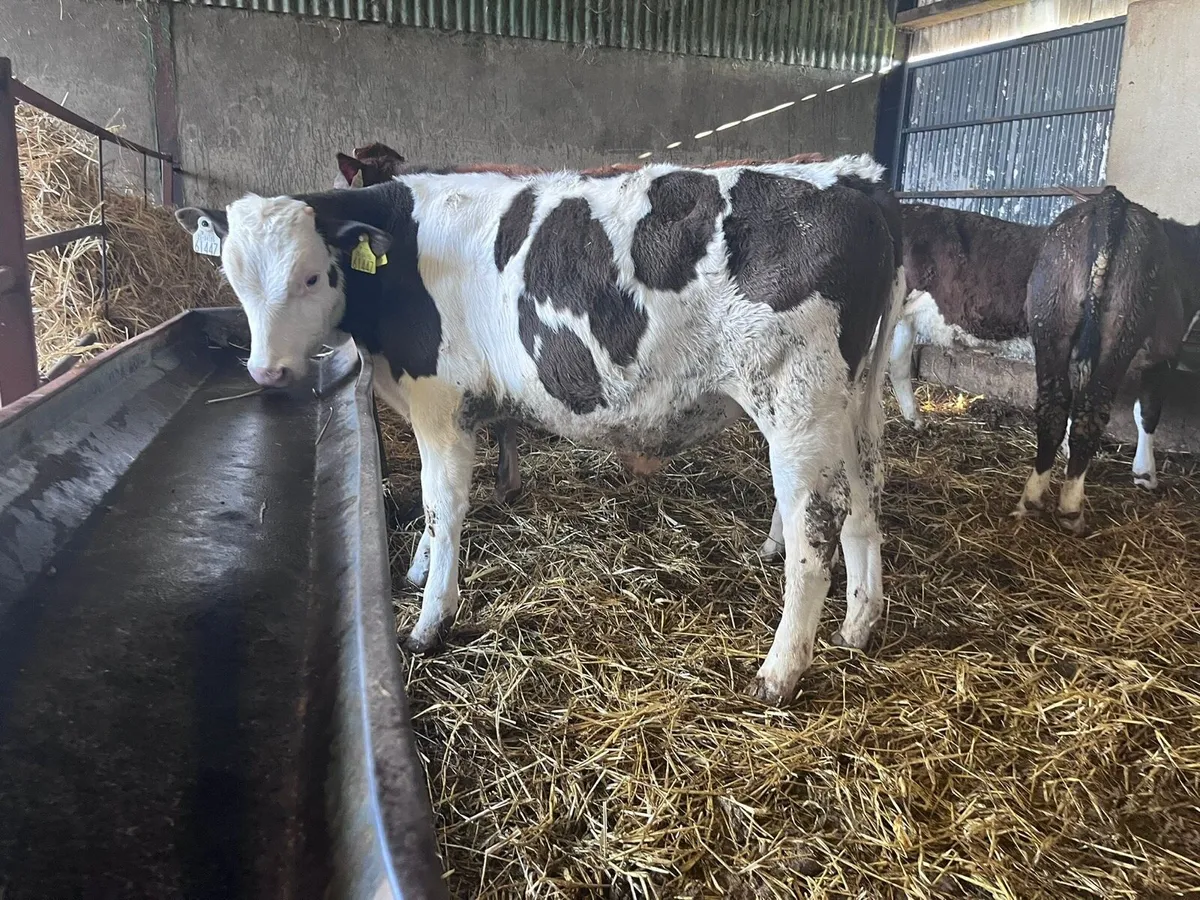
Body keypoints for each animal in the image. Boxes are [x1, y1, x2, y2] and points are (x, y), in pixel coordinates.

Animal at [177, 154, 905, 705]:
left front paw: (430, 619)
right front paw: (416, 570)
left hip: (796, 400)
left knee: (815, 533)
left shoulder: (442, 400)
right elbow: (434, 507)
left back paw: (780, 671)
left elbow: (444, 505)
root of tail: (852, 183)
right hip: (851, 407)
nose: (266, 371)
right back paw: (858, 624)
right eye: (233, 276)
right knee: (864, 506)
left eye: (310, 275)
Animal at [1013, 185, 1200, 533]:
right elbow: (1148, 410)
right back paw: (1072, 508)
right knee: (1092, 410)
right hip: (1123, 329)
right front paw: (1145, 473)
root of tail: (1111, 202)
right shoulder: (1164, 355)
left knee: (1054, 405)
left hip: (1051, 314)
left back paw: (1032, 498)